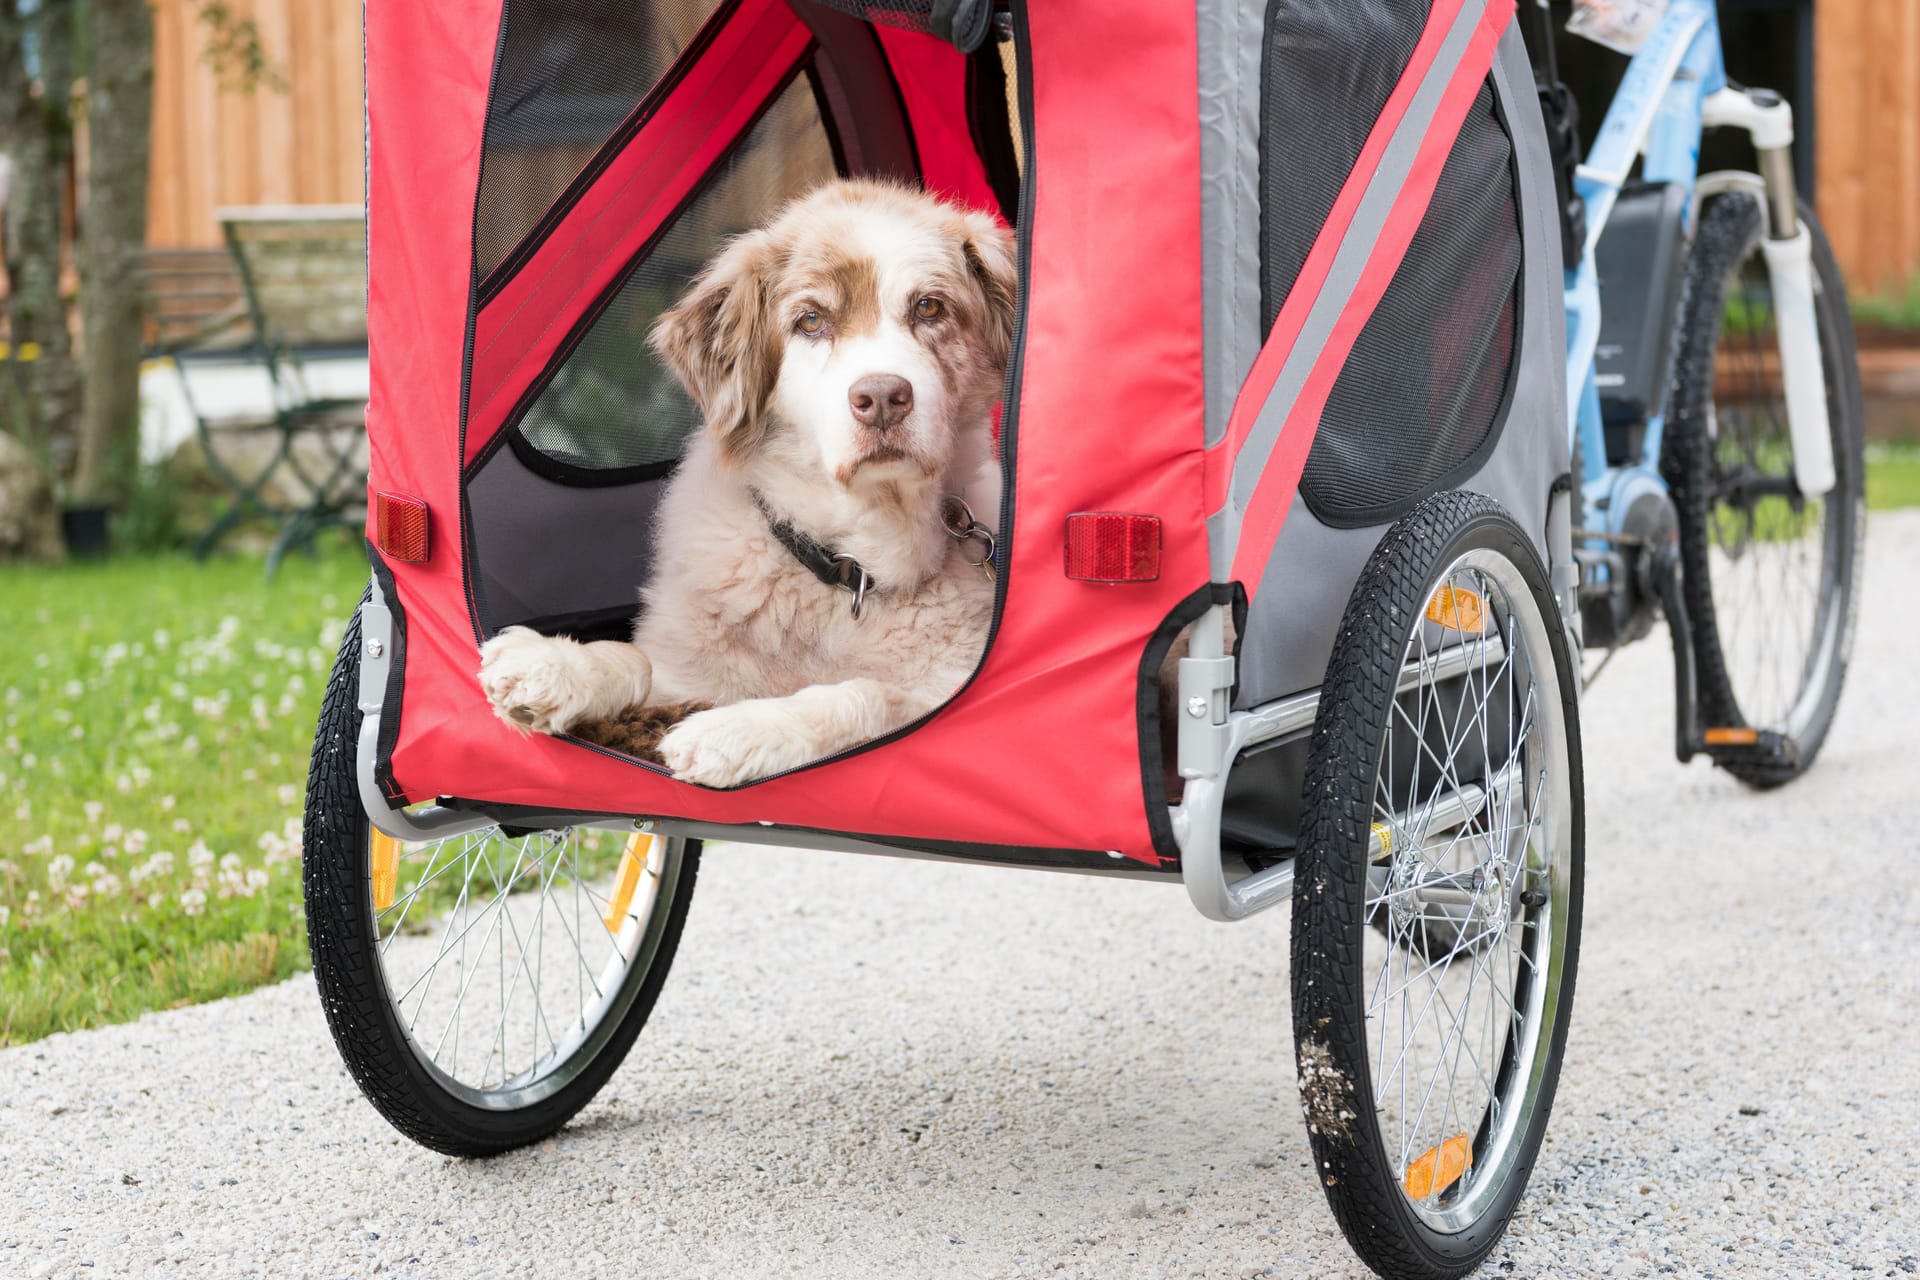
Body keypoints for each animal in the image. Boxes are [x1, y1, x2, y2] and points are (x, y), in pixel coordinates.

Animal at [476, 175, 1021, 786]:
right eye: (811, 321)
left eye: (929, 307)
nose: (882, 397)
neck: (849, 571)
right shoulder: (688, 672)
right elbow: (638, 661)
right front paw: (552, 664)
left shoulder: (954, 698)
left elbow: (866, 694)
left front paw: (736, 729)